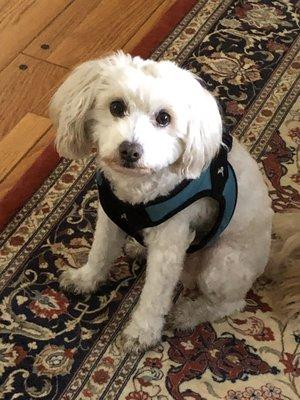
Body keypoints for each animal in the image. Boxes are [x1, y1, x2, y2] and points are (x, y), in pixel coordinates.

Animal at [49, 51, 274, 352]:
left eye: (164, 118)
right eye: (116, 106)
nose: (130, 150)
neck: (137, 190)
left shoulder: (170, 244)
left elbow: (155, 294)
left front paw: (141, 332)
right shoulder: (110, 219)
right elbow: (99, 252)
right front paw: (85, 279)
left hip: (220, 265)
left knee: (230, 304)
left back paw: (187, 313)